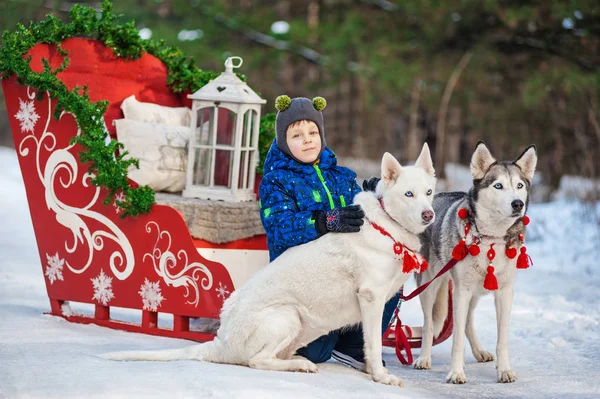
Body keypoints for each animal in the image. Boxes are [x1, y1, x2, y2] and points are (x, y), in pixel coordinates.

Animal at [104, 145, 436, 388]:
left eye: (429, 192)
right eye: (408, 194)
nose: (429, 215)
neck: (387, 224)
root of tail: (221, 342)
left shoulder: (383, 295)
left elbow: (371, 344)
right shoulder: (371, 297)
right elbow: (374, 345)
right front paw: (380, 376)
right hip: (285, 317)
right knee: (257, 361)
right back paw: (299, 364)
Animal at [414, 142, 536, 386]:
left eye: (519, 185)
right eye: (498, 186)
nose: (517, 204)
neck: (491, 239)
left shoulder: (504, 293)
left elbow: (502, 338)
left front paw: (504, 370)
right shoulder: (462, 291)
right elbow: (456, 340)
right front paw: (456, 373)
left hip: (473, 293)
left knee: (468, 322)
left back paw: (480, 352)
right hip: (430, 286)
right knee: (429, 324)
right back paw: (424, 358)